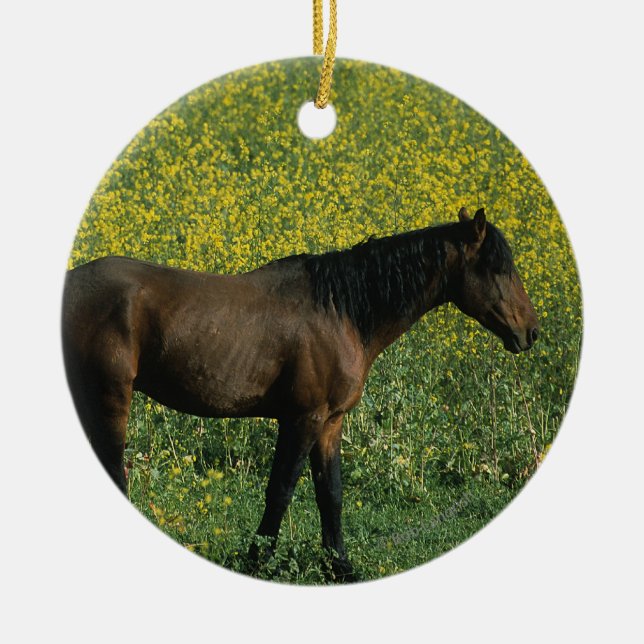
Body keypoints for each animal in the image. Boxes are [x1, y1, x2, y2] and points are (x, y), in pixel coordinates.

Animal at [62, 207, 538, 581]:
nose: (530, 333)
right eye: (498, 268)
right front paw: (257, 560)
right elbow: (282, 490)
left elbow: (331, 493)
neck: (341, 311)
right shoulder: (302, 418)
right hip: (109, 399)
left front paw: (340, 567)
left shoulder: (330, 422)